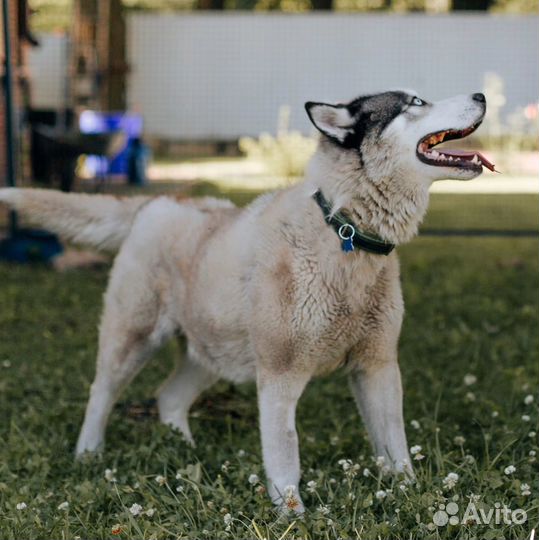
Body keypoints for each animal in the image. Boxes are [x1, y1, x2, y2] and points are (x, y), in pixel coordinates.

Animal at [0, 89, 494, 510]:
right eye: (414, 102)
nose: (481, 94)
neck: (343, 231)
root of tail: (156, 202)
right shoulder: (280, 374)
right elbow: (286, 452)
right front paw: (293, 515)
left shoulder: (377, 366)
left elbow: (396, 446)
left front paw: (409, 495)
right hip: (133, 339)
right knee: (100, 393)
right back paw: (89, 453)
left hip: (212, 351)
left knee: (168, 397)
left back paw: (184, 450)